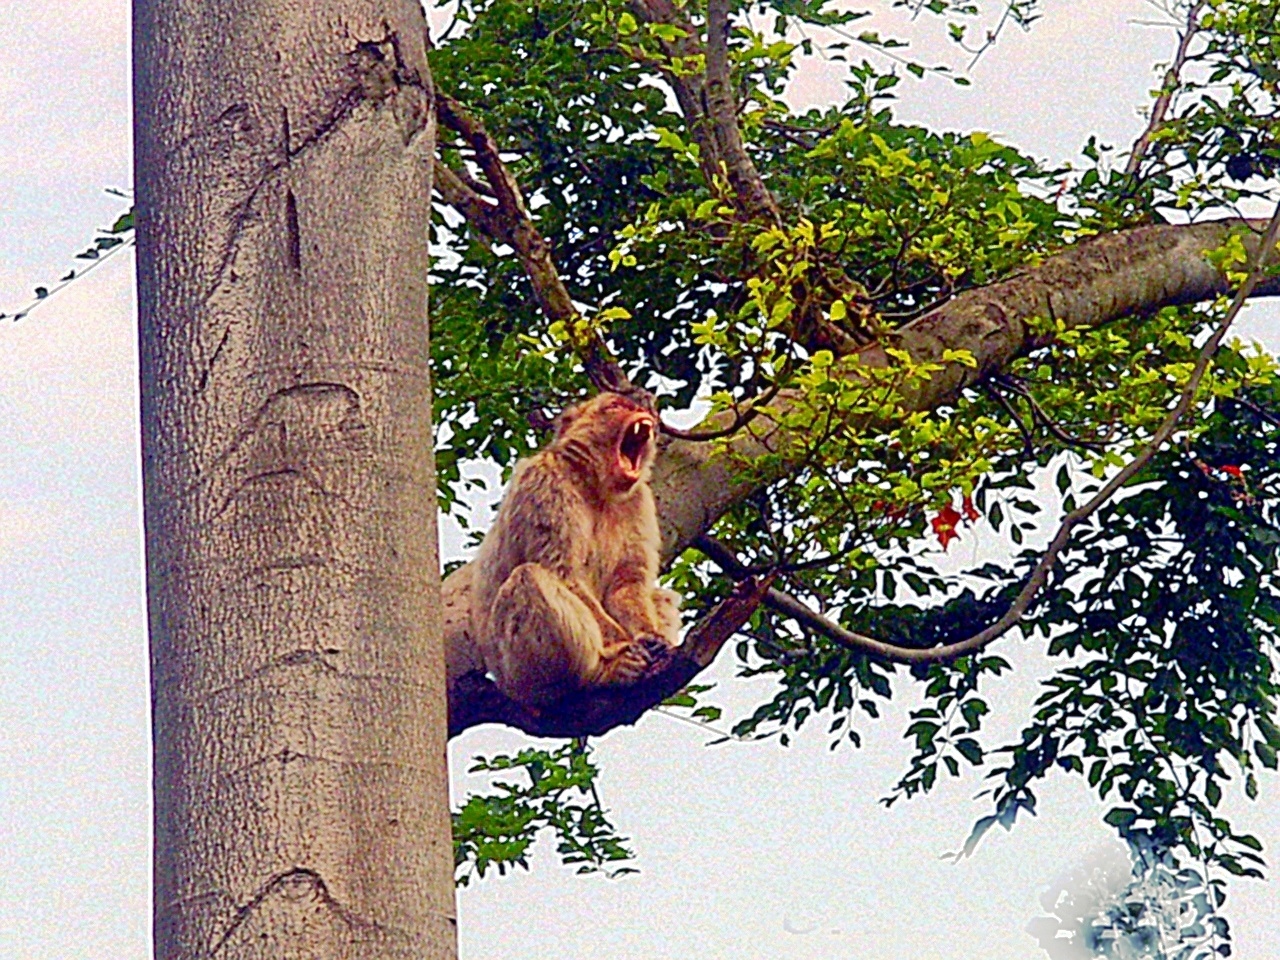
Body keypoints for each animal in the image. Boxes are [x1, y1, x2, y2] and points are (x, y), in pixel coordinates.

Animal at [458, 386, 680, 711]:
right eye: (616, 406)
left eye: (645, 411)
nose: (644, 412)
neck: (595, 485)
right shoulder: (546, 483)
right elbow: (564, 572)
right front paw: (625, 646)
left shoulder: (639, 501)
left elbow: (628, 584)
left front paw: (650, 637)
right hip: (519, 675)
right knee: (528, 579)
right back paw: (600, 674)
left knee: (661, 596)